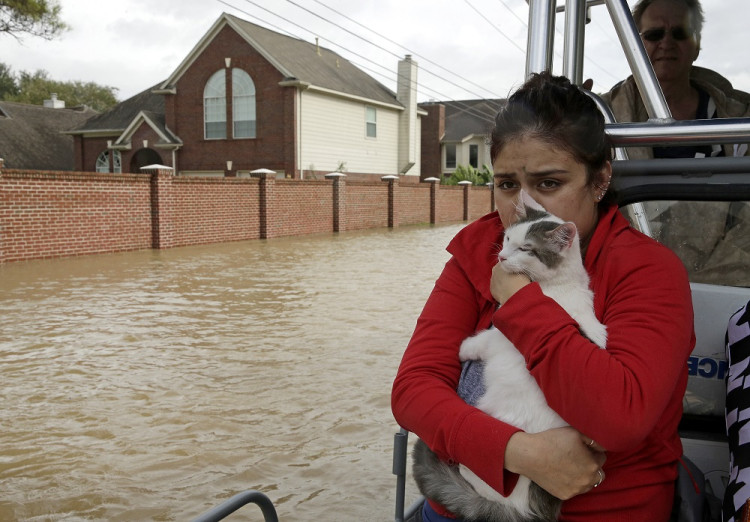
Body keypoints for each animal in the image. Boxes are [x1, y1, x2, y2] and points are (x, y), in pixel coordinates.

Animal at [414, 192, 608, 520]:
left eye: (525, 249)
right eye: (507, 238)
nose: (502, 257)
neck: (554, 286)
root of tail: (525, 507)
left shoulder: (500, 336)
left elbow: (481, 340)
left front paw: (464, 348)